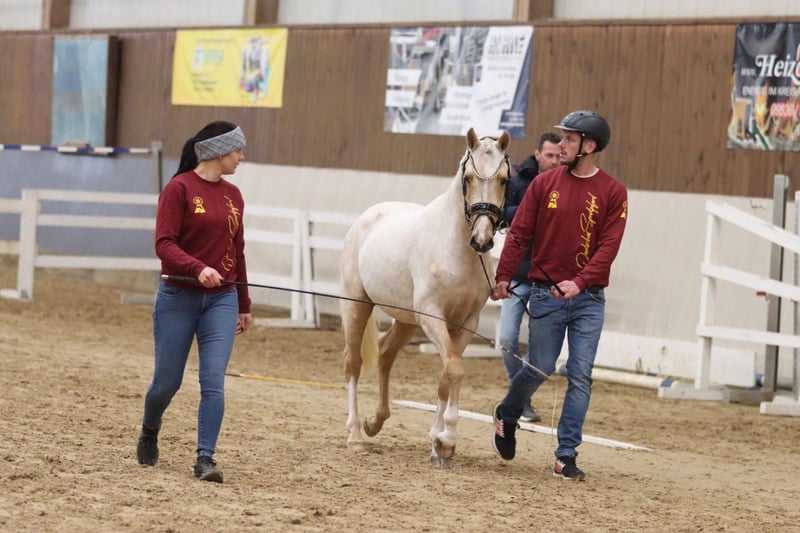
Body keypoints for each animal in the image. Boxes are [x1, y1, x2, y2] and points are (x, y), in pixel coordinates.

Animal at [339, 128, 511, 466]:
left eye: (503, 180)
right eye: (468, 177)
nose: (482, 239)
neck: (457, 250)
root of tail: (368, 216)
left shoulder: (466, 322)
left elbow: (447, 374)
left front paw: (438, 441)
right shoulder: (433, 317)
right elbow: (454, 369)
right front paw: (447, 437)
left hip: (406, 320)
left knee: (385, 354)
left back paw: (375, 422)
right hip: (357, 307)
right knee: (353, 363)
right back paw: (355, 435)